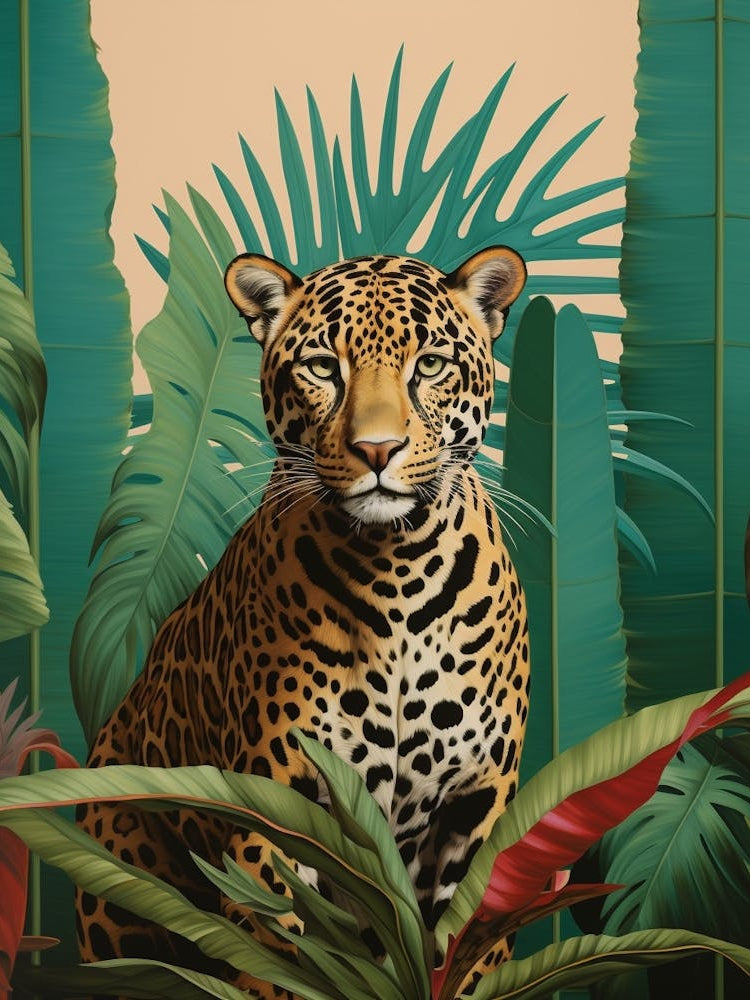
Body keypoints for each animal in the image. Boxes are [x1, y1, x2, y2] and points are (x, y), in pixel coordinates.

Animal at [76, 245, 531, 998]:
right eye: (322, 367)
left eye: (430, 364)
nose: (377, 450)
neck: (398, 572)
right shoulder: (274, 814)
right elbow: (281, 960)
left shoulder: (477, 813)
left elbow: (462, 955)